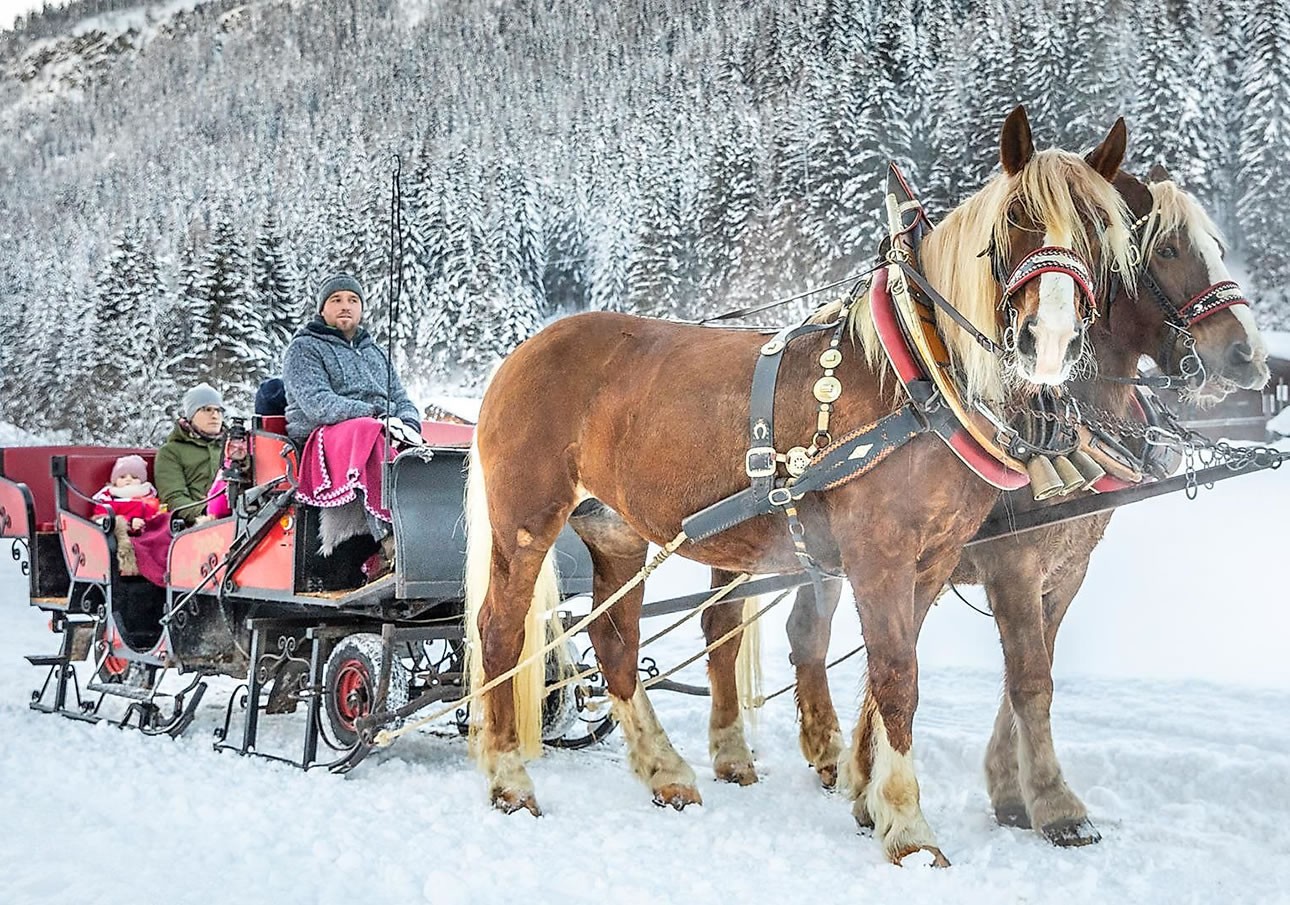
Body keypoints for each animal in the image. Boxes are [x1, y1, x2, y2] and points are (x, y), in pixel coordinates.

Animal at [463, 105, 1137, 866]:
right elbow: (898, 679)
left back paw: (665, 771)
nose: (1049, 339)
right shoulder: (881, 555)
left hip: (615, 531)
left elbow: (884, 677)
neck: (919, 375)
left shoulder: (932, 562)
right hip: (526, 519)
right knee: (499, 632)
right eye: (1019, 218)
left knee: (615, 642)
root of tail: (523, 353)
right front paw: (908, 827)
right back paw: (509, 780)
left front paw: (869, 799)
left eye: (1099, 230)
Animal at [719, 163, 1271, 848]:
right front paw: (1057, 806)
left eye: (1218, 246)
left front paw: (998, 792)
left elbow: (1023, 672)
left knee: (804, 633)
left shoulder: (1065, 567)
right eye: (1167, 250)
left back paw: (825, 756)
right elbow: (1029, 678)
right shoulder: (1011, 563)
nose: (1248, 357)